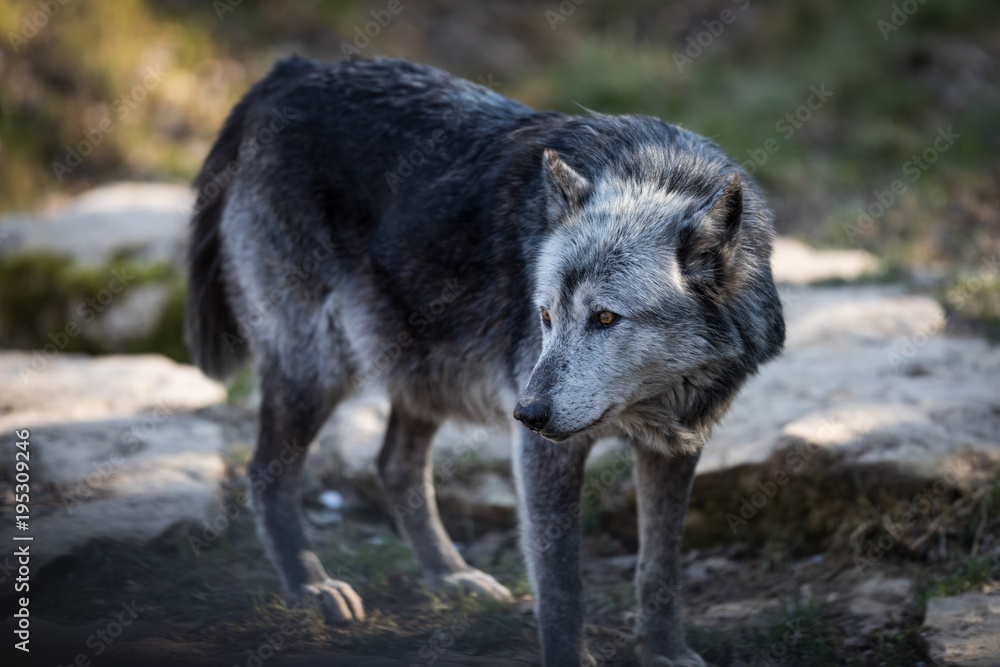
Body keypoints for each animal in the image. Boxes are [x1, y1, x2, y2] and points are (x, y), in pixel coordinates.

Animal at [186, 56, 784, 667]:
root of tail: (289, 70)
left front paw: (666, 652)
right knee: (267, 473)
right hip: (318, 367)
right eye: (544, 316)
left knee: (394, 465)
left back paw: (451, 578)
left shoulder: (677, 447)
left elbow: (660, 566)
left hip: (417, 370)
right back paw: (312, 586)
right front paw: (569, 657)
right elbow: (561, 581)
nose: (527, 414)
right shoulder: (545, 453)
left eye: (605, 318)